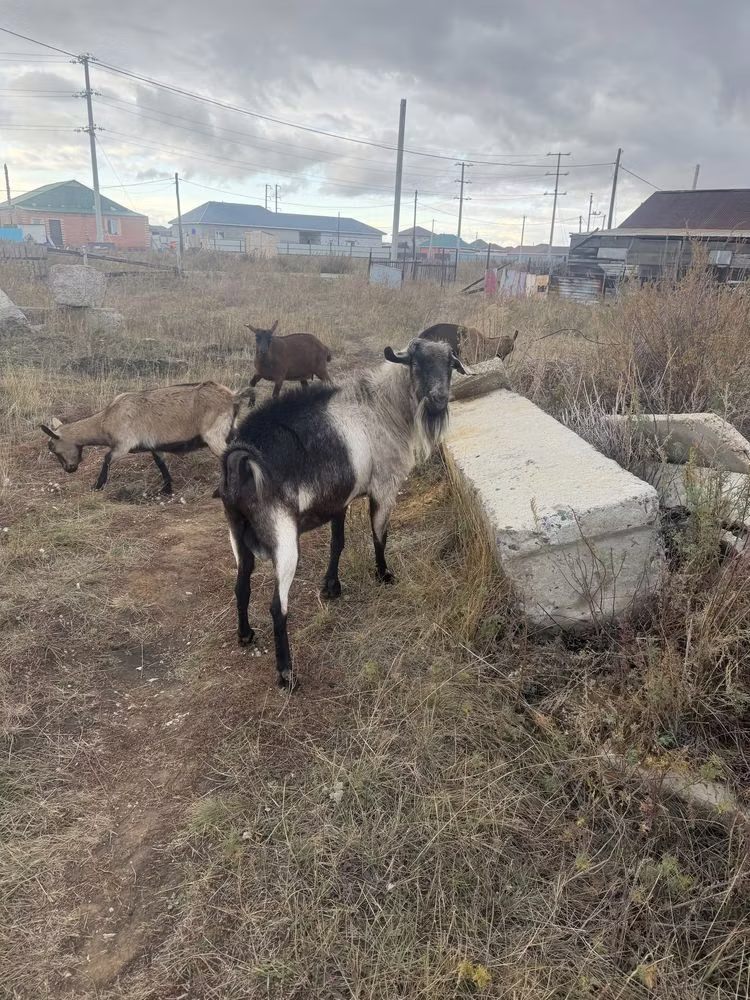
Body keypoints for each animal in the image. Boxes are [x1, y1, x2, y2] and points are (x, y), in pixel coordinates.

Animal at [40, 381, 254, 494]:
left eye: (52, 447)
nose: (69, 469)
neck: (106, 418)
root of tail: (232, 397)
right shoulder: (154, 445)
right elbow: (160, 463)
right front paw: (166, 488)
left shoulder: (124, 444)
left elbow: (107, 458)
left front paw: (98, 485)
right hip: (229, 430)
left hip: (214, 434)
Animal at [220, 338, 467, 689]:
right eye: (417, 363)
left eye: (449, 364)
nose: (438, 398)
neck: (384, 408)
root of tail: (240, 457)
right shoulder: (384, 487)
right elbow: (380, 535)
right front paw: (384, 575)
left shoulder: (339, 499)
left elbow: (338, 542)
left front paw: (331, 587)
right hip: (282, 535)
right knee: (277, 606)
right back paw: (286, 673)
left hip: (237, 533)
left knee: (241, 585)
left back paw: (245, 634)